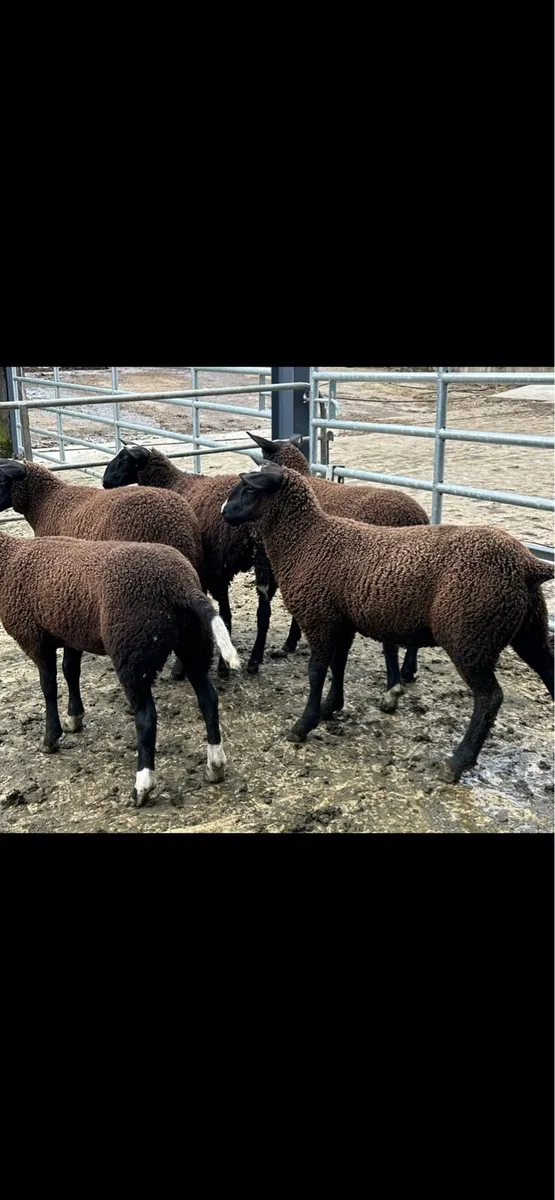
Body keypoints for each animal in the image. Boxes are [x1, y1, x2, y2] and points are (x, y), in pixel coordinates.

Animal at [0, 517, 240, 808]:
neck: (8, 561)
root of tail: (183, 587)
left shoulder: (35, 639)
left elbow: (48, 688)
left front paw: (50, 739)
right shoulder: (71, 633)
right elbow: (71, 672)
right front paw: (74, 718)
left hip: (133, 654)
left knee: (147, 718)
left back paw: (142, 786)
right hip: (193, 643)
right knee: (208, 700)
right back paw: (215, 766)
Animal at [102, 443, 278, 676]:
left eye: (124, 459)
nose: (105, 481)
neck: (171, 482)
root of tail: (255, 528)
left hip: (220, 565)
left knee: (226, 614)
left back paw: (223, 666)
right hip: (266, 562)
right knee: (263, 613)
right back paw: (254, 661)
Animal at [222, 463, 554, 783]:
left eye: (249, 489)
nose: (224, 512)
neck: (306, 540)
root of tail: (528, 564)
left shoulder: (320, 619)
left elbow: (316, 672)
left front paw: (304, 724)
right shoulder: (342, 622)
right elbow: (338, 665)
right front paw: (332, 706)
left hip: (471, 636)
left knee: (489, 699)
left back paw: (458, 762)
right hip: (528, 629)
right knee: (547, 675)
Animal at [247, 431, 430, 708]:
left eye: (262, 456)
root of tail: (418, 517)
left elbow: (267, 610)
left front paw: (264, 655)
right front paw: (290, 643)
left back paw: (393, 687)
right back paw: (407, 671)